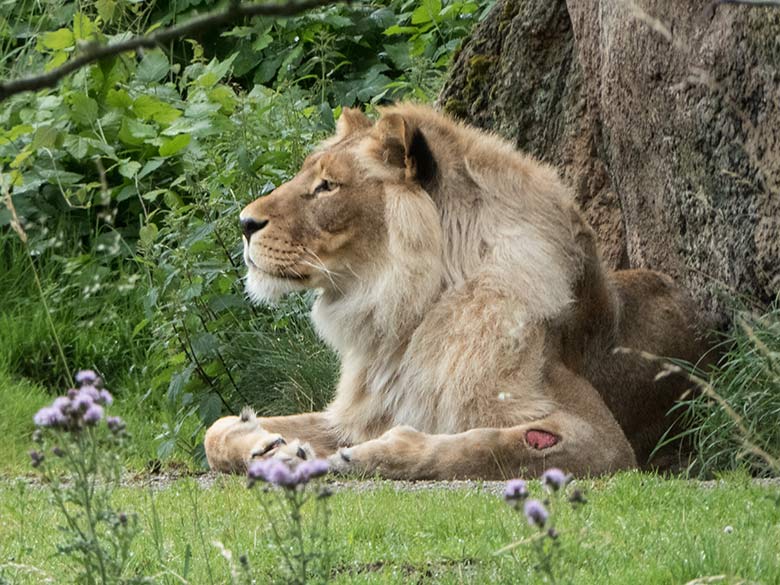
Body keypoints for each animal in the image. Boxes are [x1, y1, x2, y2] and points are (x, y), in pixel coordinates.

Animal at [203, 104, 708, 480]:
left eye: (328, 186)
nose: (244, 223)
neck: (409, 315)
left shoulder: (604, 441)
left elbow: (491, 446)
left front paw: (373, 454)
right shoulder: (355, 414)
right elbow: (216, 430)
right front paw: (269, 445)